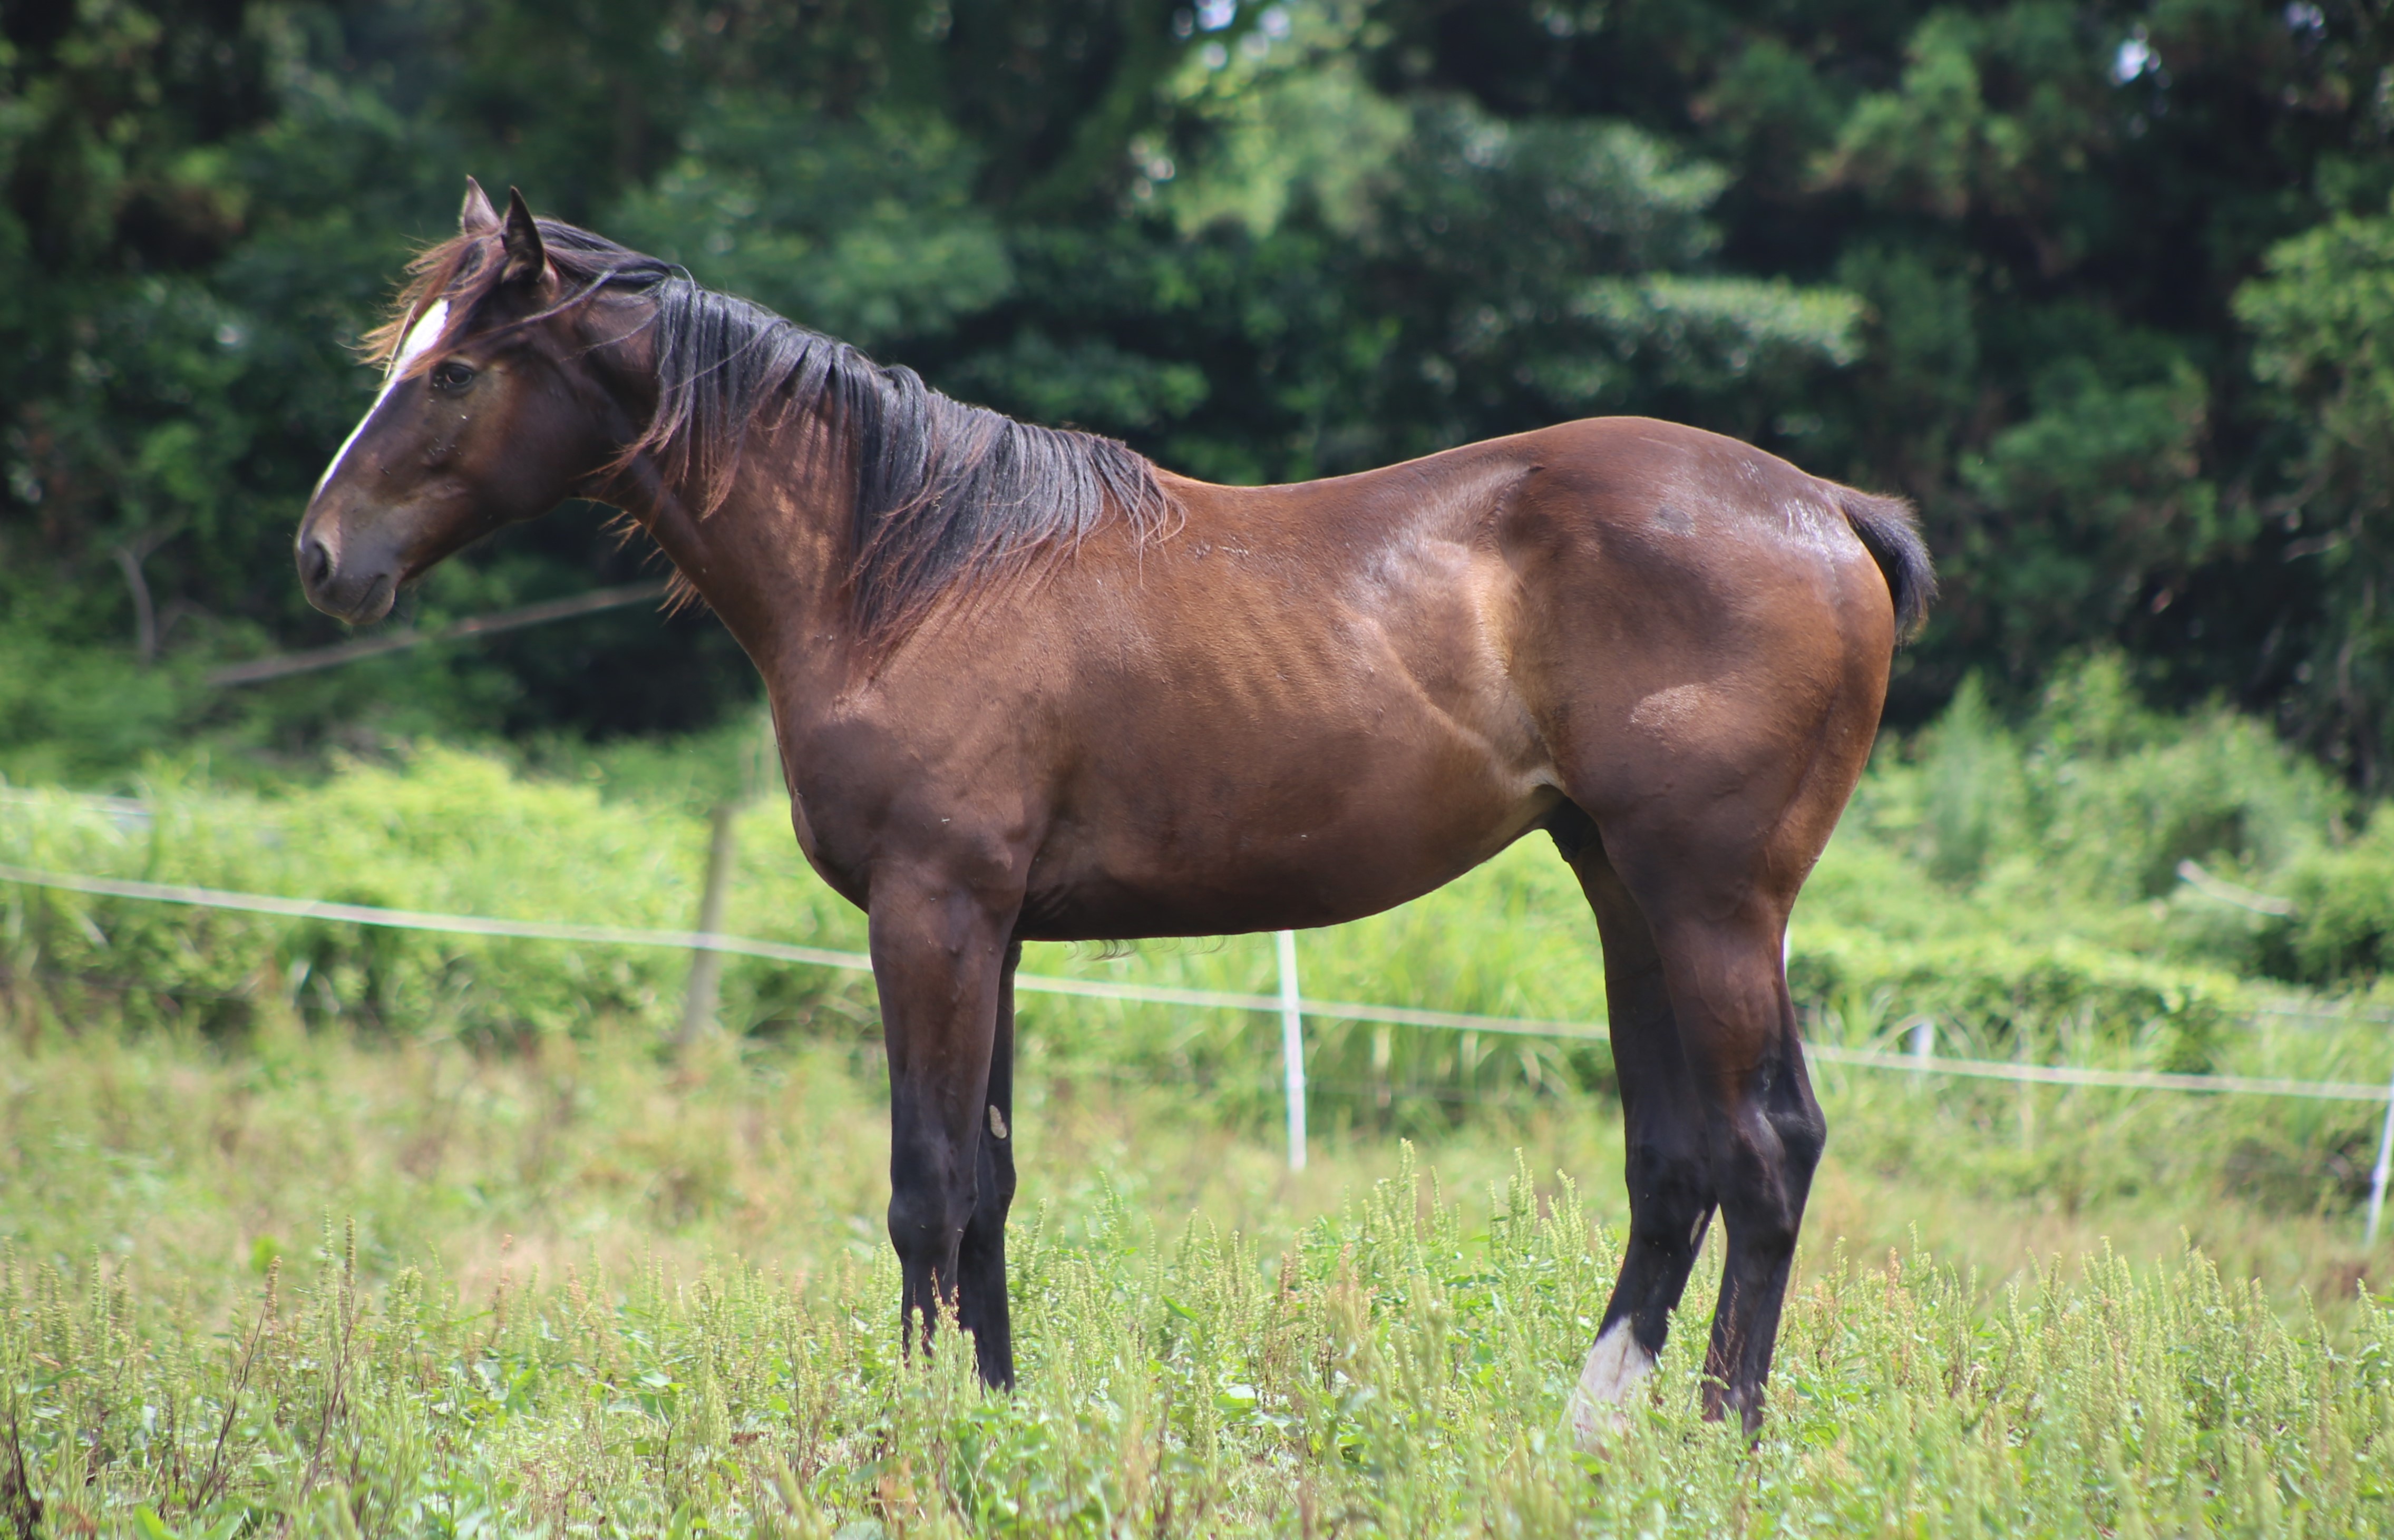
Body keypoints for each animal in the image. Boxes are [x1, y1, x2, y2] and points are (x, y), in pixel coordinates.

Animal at [294, 187, 1924, 1437]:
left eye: (456, 372)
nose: (322, 556)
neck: (910, 569)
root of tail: (1826, 507)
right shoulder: (994, 928)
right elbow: (991, 1185)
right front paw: (996, 1415)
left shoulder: (931, 912)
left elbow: (926, 1186)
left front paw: (922, 1427)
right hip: (1620, 887)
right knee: (1673, 1161)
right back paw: (1591, 1430)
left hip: (1712, 903)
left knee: (1765, 1146)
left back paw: (1721, 1437)